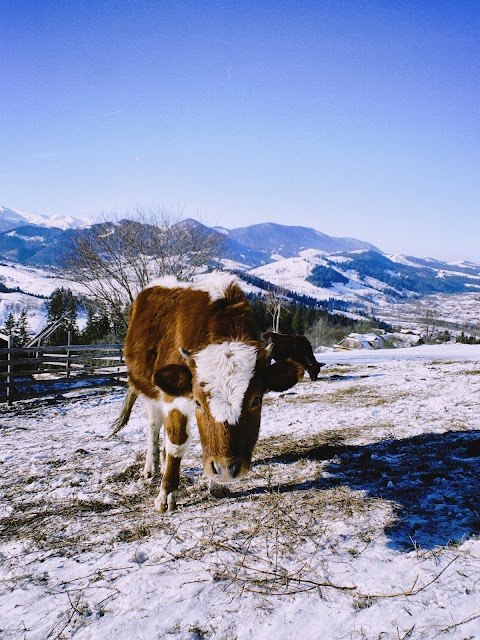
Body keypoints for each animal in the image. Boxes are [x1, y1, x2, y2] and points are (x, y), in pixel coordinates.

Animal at [111, 272, 304, 512]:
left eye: (256, 400)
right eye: (198, 403)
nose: (226, 469)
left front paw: (217, 485)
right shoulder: (174, 399)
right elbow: (176, 443)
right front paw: (166, 494)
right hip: (148, 391)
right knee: (154, 426)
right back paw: (152, 466)